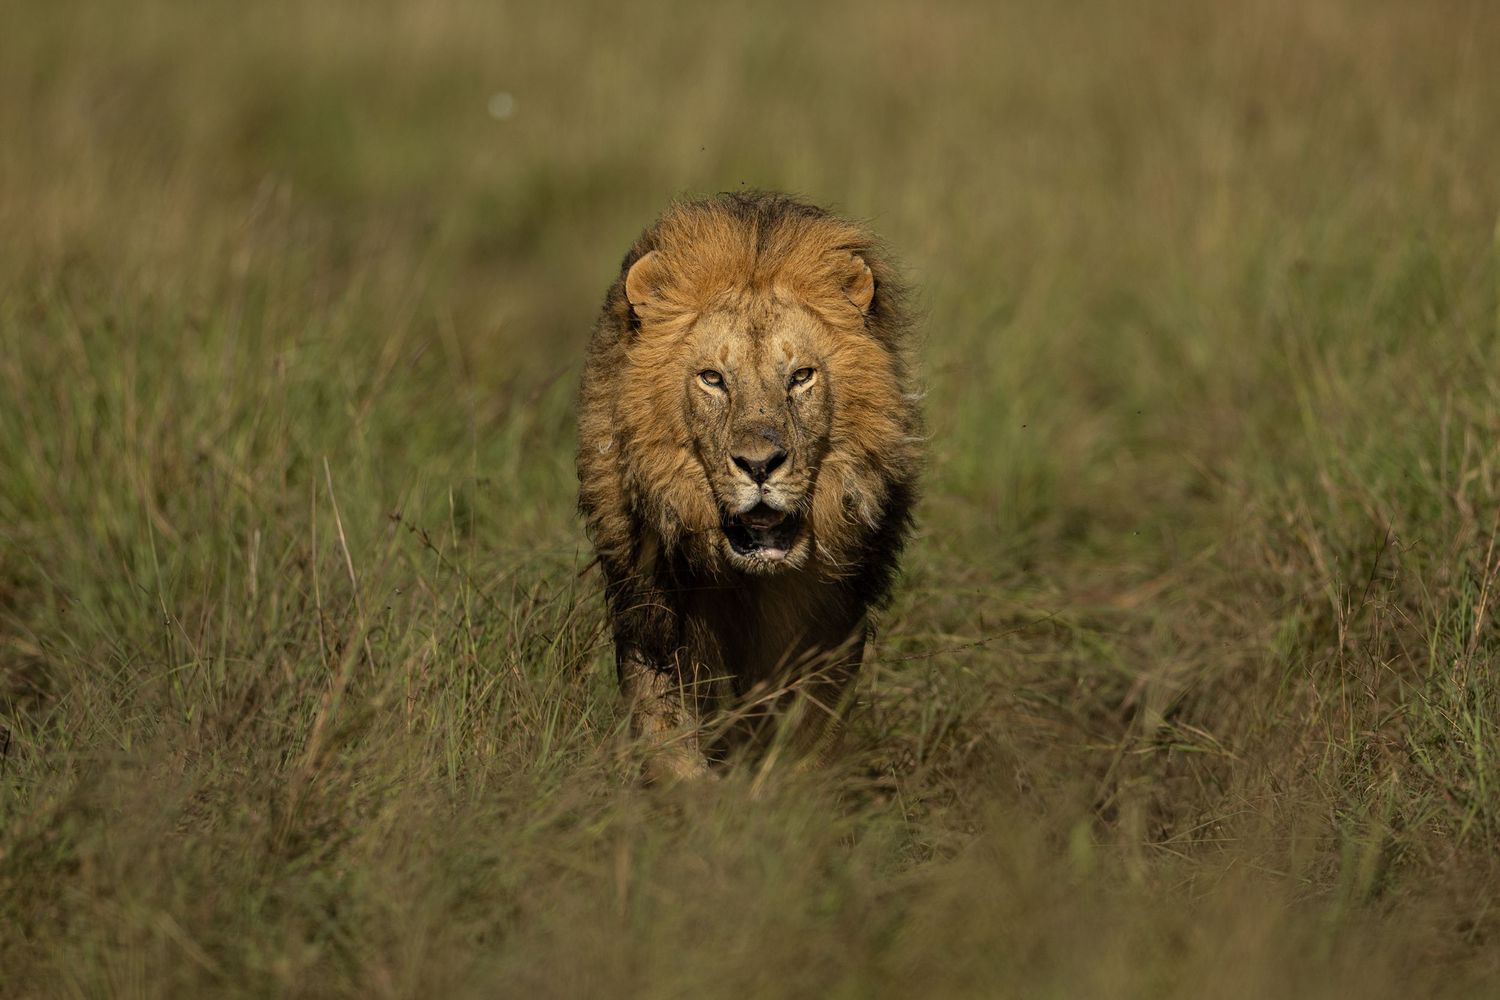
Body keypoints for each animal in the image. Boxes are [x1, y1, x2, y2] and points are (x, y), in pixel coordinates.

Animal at [576, 192, 921, 781]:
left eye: (801, 377)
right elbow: (665, 733)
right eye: (713, 379)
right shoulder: (651, 610)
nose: (760, 466)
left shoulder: (830, 626)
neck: (752, 583)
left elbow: (802, 736)